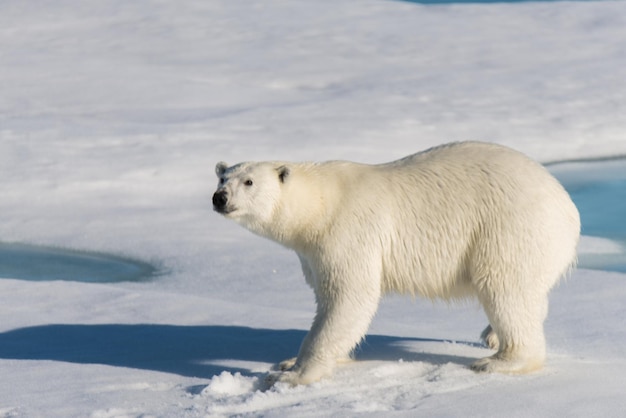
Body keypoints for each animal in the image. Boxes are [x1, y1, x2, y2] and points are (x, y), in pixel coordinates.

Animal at [212, 140, 576, 386]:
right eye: (222, 178)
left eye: (249, 182)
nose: (220, 198)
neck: (319, 205)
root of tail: (569, 207)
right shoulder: (310, 252)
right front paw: (290, 363)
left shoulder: (347, 231)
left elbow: (348, 298)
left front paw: (292, 373)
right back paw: (491, 335)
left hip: (508, 227)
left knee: (504, 288)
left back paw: (498, 361)